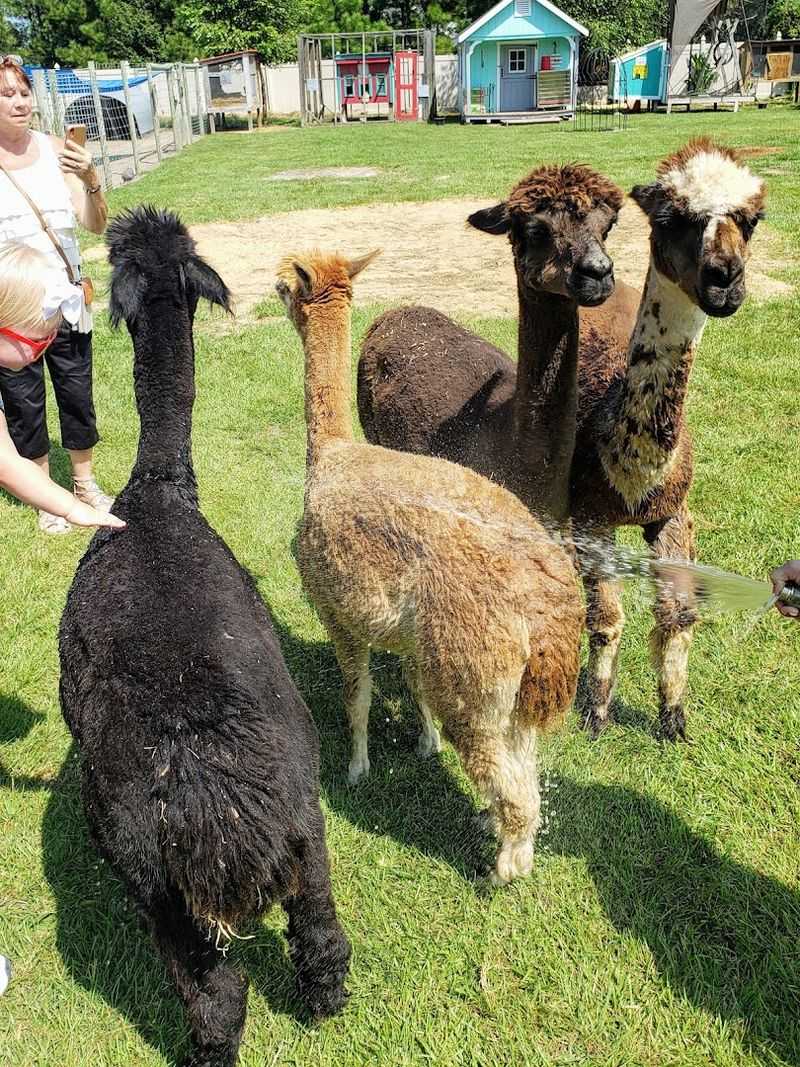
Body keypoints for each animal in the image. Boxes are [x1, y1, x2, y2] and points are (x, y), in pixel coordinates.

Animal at [276, 250, 583, 886]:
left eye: (286, 285)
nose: (271, 286)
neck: (330, 456)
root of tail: (550, 620)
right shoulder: (412, 636)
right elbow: (413, 686)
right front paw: (424, 745)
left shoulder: (337, 610)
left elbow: (358, 695)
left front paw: (357, 768)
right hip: (509, 696)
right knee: (525, 767)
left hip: (474, 678)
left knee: (512, 786)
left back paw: (503, 865)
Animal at [357, 140, 765, 741]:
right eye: (531, 227)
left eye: (609, 223)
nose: (597, 271)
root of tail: (396, 311)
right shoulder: (568, 520)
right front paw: (583, 713)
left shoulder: (658, 513)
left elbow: (672, 611)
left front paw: (670, 719)